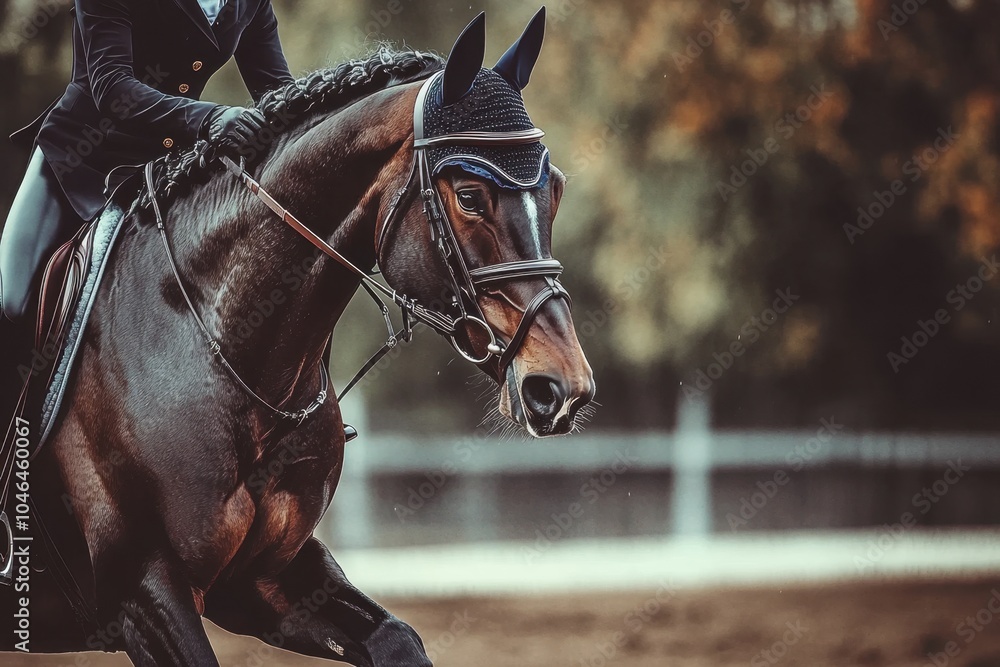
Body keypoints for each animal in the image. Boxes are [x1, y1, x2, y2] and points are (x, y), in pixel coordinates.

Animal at [5, 9, 594, 665]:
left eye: (555, 189)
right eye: (469, 196)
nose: (563, 389)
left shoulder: (267, 581)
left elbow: (396, 637)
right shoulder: (144, 593)